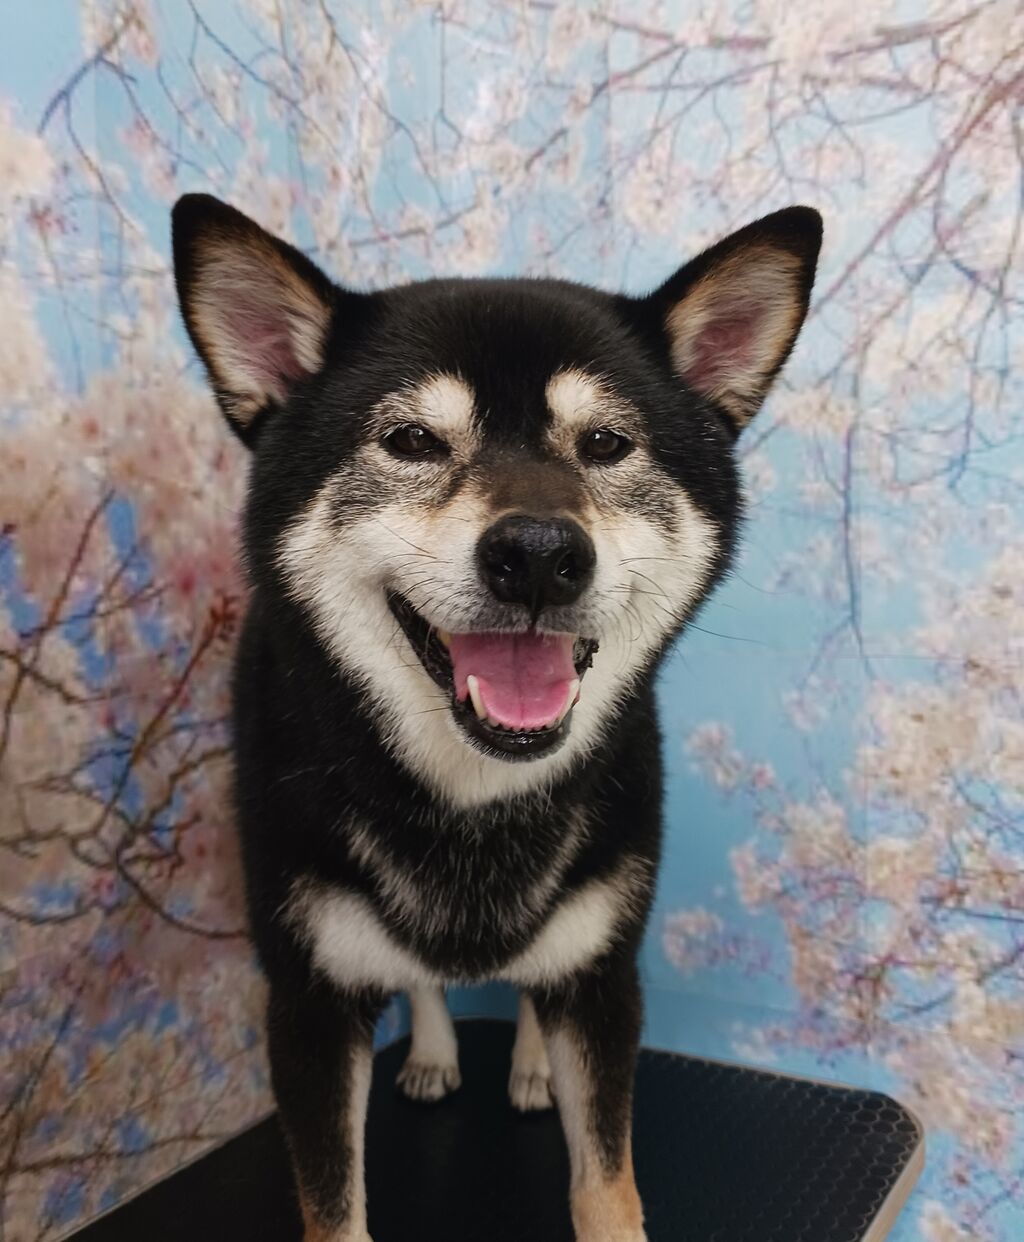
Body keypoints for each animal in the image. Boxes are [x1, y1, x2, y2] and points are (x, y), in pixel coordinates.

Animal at [171, 194, 820, 1242]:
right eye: (411, 442)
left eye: (605, 444)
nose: (541, 554)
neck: (476, 803)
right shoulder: (308, 999)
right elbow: (333, 1205)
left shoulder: (602, 977)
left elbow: (607, 1185)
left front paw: (544, 1080)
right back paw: (439, 1051)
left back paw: (524, 1062)